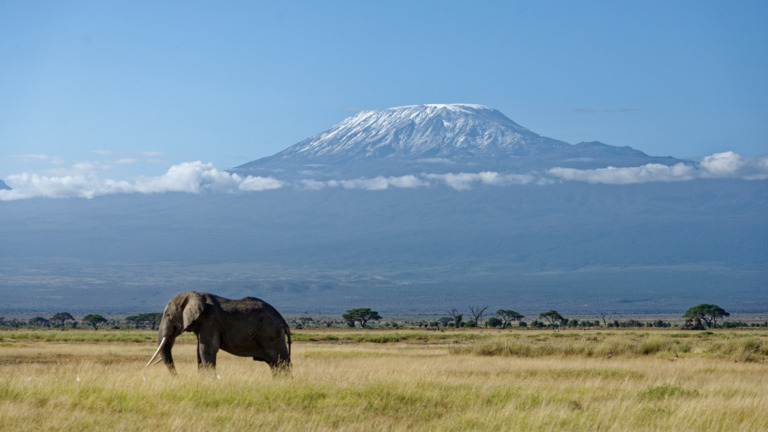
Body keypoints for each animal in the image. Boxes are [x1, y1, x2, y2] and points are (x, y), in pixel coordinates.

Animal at [145, 291, 291, 374]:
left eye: (168, 315)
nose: (178, 377)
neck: (195, 294)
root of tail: (284, 322)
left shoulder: (210, 321)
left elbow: (206, 350)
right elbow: (199, 352)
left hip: (272, 334)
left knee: (281, 362)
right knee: (275, 365)